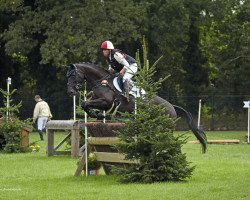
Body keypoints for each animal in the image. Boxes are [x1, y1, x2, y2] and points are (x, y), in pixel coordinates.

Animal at [66, 61, 207, 152]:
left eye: (73, 75)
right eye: (67, 76)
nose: (70, 92)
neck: (101, 81)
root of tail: (172, 107)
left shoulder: (106, 102)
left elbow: (86, 103)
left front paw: (97, 114)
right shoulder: (96, 99)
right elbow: (85, 104)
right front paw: (96, 114)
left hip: (165, 128)